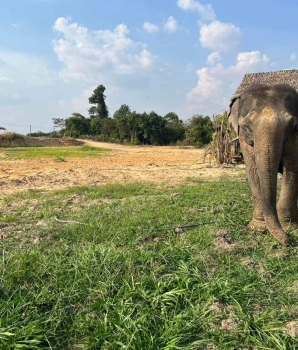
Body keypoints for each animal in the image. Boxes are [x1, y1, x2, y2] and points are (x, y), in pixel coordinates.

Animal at [229, 83, 298, 245]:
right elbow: (252, 171)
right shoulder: (243, 139)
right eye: (246, 126)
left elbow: (292, 170)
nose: (288, 242)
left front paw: (289, 227)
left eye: (292, 126)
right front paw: (258, 228)